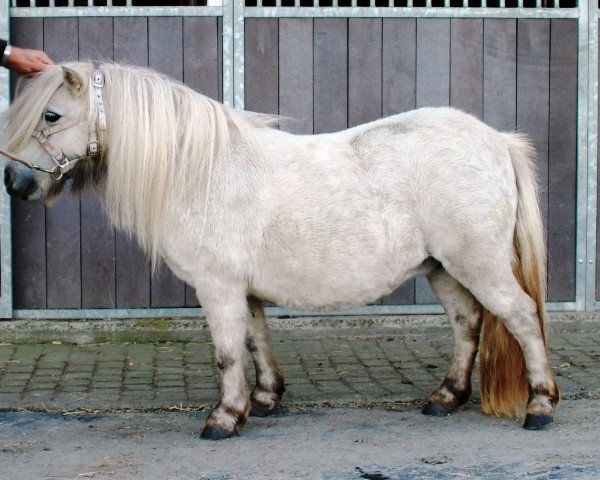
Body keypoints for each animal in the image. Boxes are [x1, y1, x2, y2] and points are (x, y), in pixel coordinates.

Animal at [2, 62, 560, 438]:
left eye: (51, 114)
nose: (13, 181)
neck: (199, 169)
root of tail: (497, 140)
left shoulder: (218, 286)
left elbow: (227, 352)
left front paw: (224, 418)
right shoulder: (243, 289)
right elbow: (256, 341)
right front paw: (266, 398)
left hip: (478, 263)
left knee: (521, 317)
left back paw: (540, 405)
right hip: (443, 267)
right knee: (468, 323)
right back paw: (446, 397)